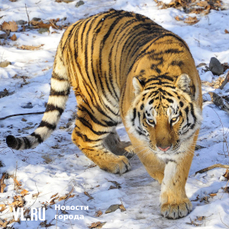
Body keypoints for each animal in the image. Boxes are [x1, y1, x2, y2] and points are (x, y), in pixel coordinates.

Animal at [5, 9, 202, 219]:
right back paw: (115, 162)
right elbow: (152, 162)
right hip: (99, 107)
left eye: (174, 119)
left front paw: (174, 202)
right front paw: (163, 179)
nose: (164, 148)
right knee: (80, 135)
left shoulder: (188, 133)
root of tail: (71, 28)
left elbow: (177, 170)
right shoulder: (134, 126)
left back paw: (123, 149)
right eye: (150, 120)